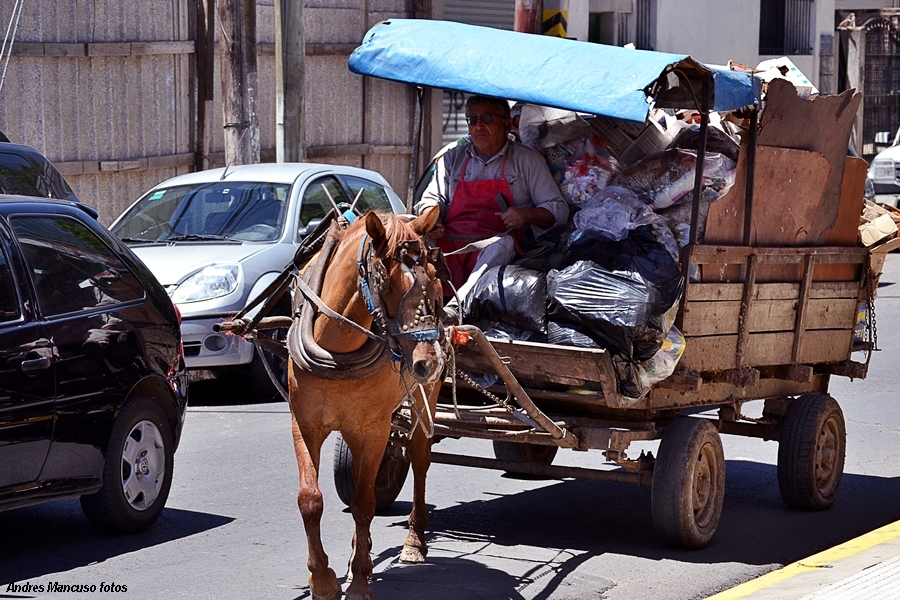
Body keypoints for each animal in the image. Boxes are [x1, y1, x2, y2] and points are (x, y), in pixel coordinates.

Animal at [286, 207, 444, 600]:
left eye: (433, 279)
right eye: (384, 282)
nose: (430, 361)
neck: (336, 348)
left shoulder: (375, 427)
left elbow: (363, 502)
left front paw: (358, 582)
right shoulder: (303, 423)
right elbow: (310, 499)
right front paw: (322, 579)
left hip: (424, 400)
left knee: (419, 459)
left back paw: (414, 541)